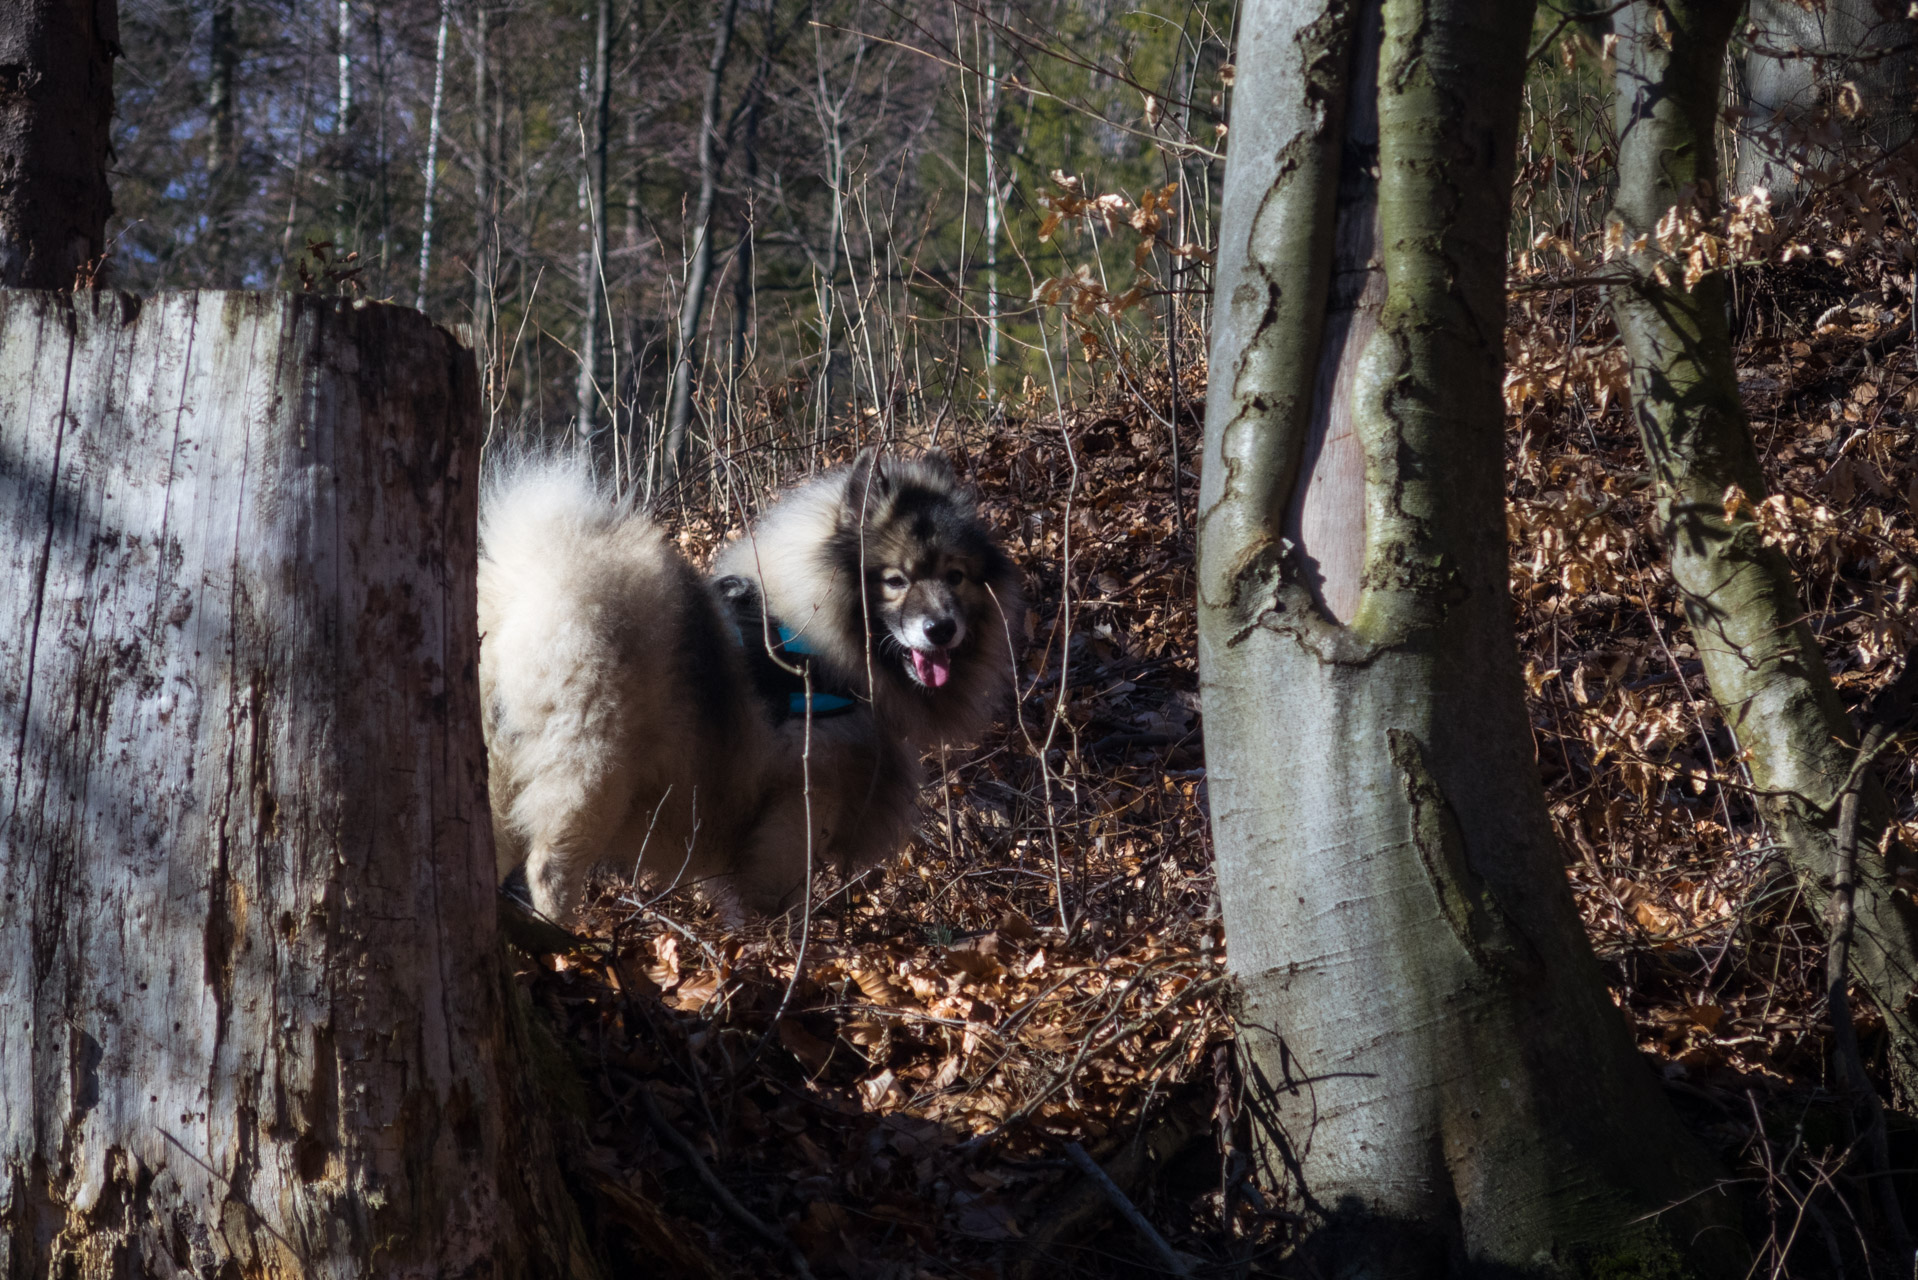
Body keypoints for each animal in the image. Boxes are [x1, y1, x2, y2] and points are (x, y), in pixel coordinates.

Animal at [479, 449, 1020, 921]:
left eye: (956, 576)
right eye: (895, 580)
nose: (942, 628)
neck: (816, 643)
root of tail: (522, 599)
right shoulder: (799, 808)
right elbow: (779, 904)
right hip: (594, 772)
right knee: (549, 870)